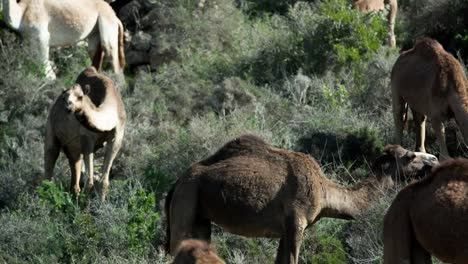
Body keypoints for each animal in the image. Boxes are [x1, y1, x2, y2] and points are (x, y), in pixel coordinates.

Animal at [44, 67, 126, 201]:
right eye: (64, 98)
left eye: (80, 96)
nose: (68, 107)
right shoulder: (87, 139)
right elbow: (89, 181)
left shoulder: (117, 137)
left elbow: (103, 181)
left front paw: (101, 204)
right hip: (50, 131)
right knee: (49, 162)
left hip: (72, 148)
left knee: (75, 173)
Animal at [165, 135, 438, 262]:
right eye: (410, 156)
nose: (433, 159)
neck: (325, 192)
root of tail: (176, 183)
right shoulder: (296, 223)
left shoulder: (284, 231)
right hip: (186, 201)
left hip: (201, 218)